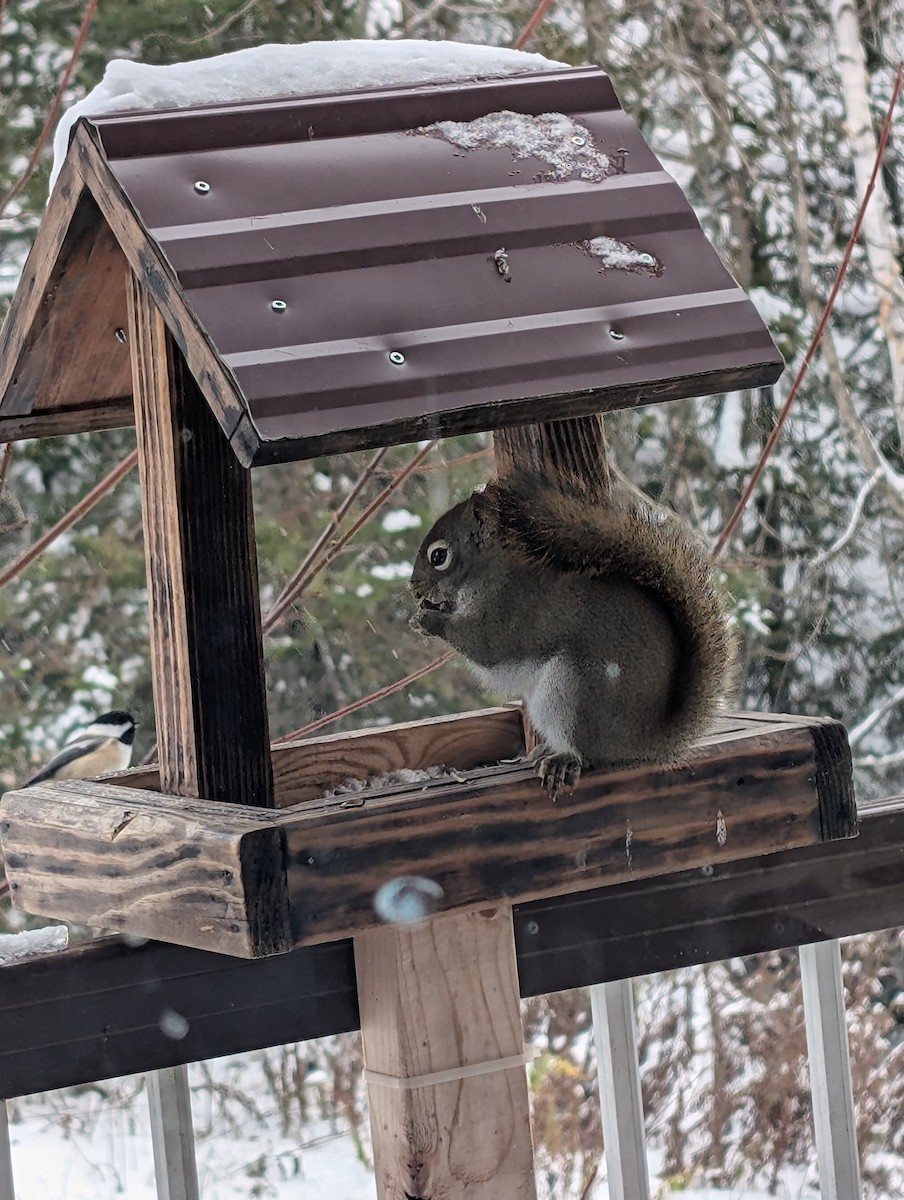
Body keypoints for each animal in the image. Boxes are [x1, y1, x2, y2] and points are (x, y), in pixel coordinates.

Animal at [409, 471, 736, 791]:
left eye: (439, 557)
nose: (413, 589)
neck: (487, 574)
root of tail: (645, 741)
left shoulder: (512, 611)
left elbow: (487, 644)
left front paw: (429, 620)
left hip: (576, 689)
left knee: (589, 754)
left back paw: (564, 760)